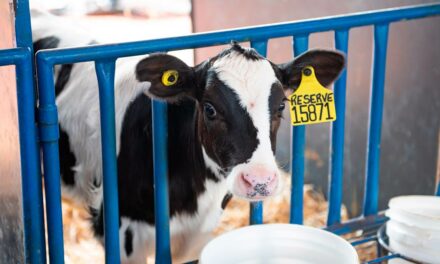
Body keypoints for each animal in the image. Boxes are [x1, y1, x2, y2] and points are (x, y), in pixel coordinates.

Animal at [32, 10, 346, 264]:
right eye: (209, 108)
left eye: (281, 106)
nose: (259, 181)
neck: (191, 198)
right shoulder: (121, 232)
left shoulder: (200, 233)